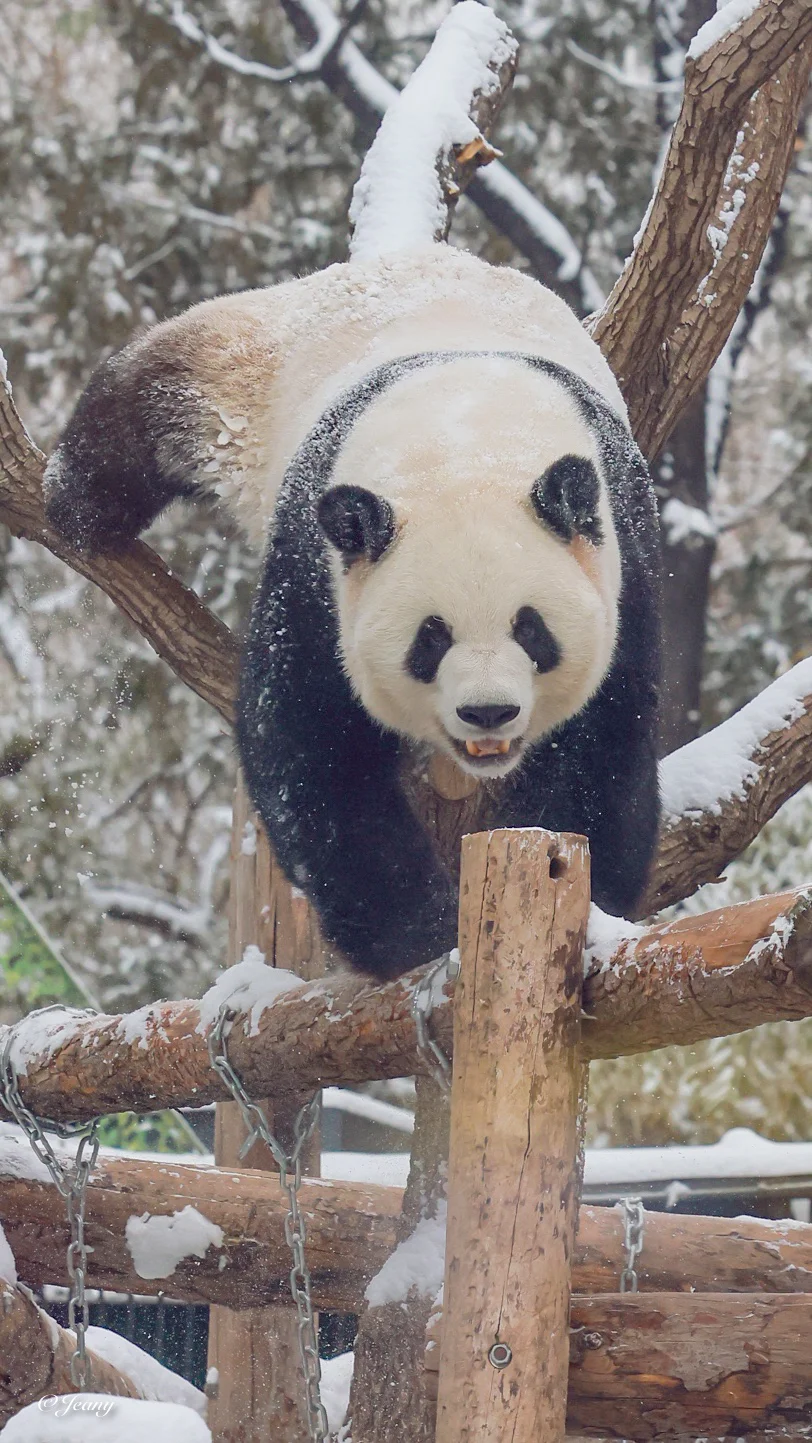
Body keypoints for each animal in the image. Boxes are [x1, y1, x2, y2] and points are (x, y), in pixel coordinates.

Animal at [42, 248, 660, 981]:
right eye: (430, 639)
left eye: (530, 628)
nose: (488, 713)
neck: (466, 437)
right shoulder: (319, 561)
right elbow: (314, 743)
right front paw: (421, 933)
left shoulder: (619, 548)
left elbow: (604, 735)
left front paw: (590, 892)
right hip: (249, 363)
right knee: (149, 393)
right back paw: (74, 503)